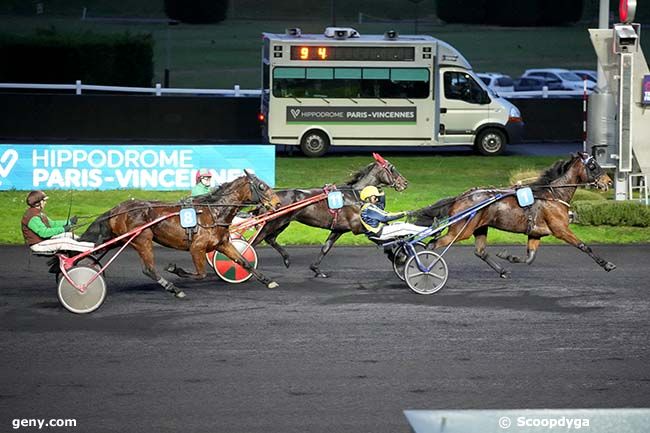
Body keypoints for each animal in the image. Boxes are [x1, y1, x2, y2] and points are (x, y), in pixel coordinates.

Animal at [79, 171, 280, 296]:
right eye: (261, 186)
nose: (277, 203)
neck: (213, 212)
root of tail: (117, 209)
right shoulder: (197, 248)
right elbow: (201, 274)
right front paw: (175, 269)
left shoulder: (223, 244)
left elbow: (244, 262)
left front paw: (268, 280)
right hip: (142, 239)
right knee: (148, 269)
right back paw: (174, 289)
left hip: (119, 239)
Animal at [248, 154, 404, 278]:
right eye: (392, 168)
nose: (404, 183)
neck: (354, 195)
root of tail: (266, 201)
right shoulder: (358, 227)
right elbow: (382, 238)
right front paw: (400, 257)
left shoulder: (339, 229)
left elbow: (326, 247)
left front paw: (316, 269)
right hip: (271, 224)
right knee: (253, 243)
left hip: (282, 223)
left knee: (270, 239)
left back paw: (286, 259)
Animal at [408, 152, 616, 276]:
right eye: (593, 166)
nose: (609, 182)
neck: (553, 195)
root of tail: (460, 197)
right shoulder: (561, 229)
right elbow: (583, 246)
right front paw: (607, 264)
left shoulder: (535, 233)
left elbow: (530, 258)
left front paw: (508, 256)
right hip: (461, 231)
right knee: (433, 244)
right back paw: (422, 266)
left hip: (480, 227)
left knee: (480, 251)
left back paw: (502, 271)